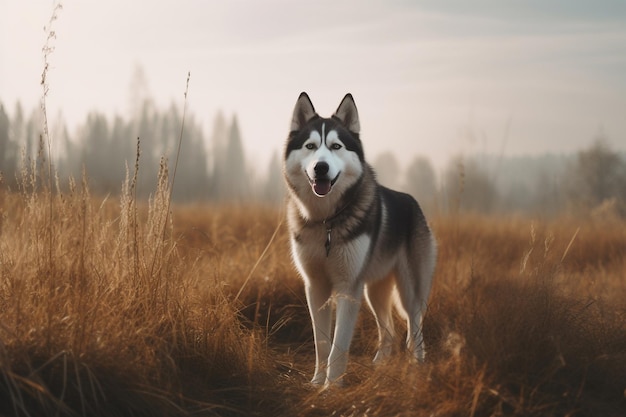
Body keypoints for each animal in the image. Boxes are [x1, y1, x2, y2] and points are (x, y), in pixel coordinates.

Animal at [282, 92, 434, 386]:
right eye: (310, 146)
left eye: (336, 146)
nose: (321, 167)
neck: (327, 221)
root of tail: (413, 201)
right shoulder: (315, 286)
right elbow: (322, 344)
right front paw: (316, 383)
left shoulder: (347, 287)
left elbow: (338, 346)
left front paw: (332, 387)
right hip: (373, 291)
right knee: (389, 333)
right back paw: (380, 365)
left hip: (408, 291)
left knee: (415, 327)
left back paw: (416, 367)